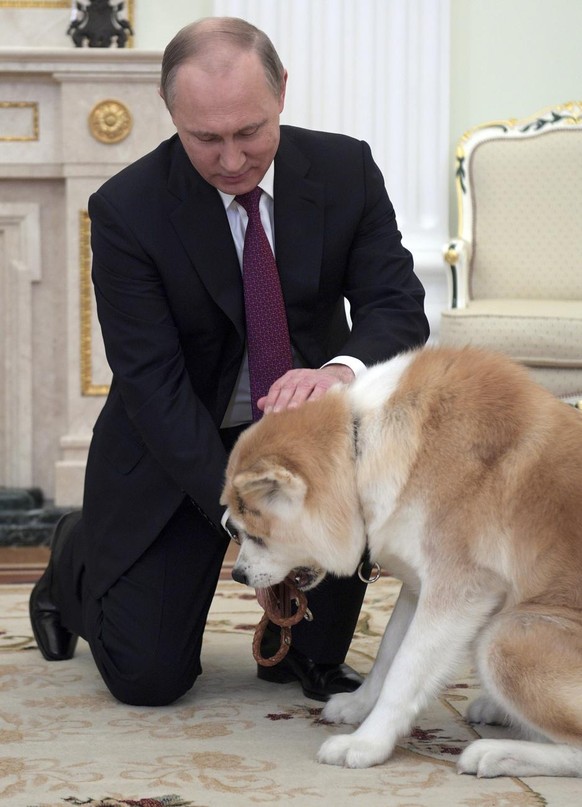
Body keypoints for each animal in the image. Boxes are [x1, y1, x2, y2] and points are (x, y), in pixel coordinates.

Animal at [222, 346, 582, 776]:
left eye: (256, 535)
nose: (238, 575)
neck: (362, 446)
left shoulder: (455, 593)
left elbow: (405, 672)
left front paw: (367, 743)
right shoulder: (416, 587)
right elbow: (387, 656)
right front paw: (359, 705)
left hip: (505, 638)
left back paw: (495, 752)